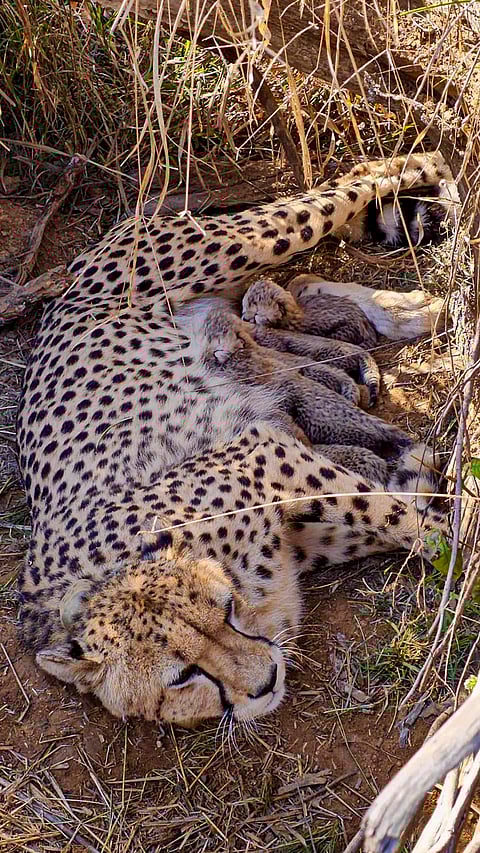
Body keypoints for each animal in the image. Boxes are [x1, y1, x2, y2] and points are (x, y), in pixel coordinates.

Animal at [16, 151, 454, 728]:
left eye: (224, 610)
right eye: (182, 677)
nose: (265, 681)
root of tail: (72, 274)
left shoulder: (267, 455)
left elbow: (402, 518)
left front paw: (463, 546)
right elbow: (395, 510)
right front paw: (417, 478)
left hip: (242, 242)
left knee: (362, 179)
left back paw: (434, 182)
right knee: (305, 280)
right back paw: (405, 312)